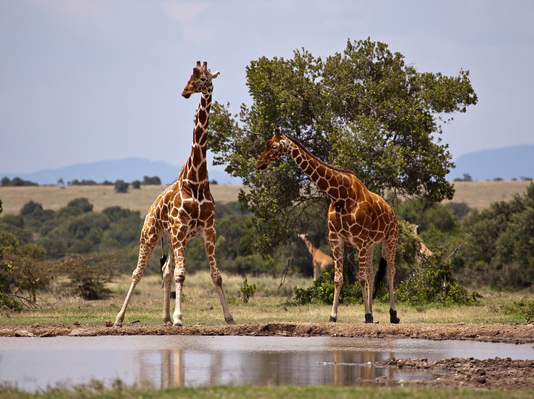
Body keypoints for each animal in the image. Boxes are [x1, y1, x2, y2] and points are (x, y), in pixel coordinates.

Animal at [114, 60, 236, 328]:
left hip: (173, 240)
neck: (197, 179)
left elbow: (216, 275)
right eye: (190, 77)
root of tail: (150, 209)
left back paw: (165, 317)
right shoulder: (181, 229)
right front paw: (181, 318)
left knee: (166, 270)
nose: (185, 91)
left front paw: (229, 317)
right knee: (138, 273)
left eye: (203, 78)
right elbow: (182, 275)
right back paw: (119, 318)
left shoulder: (208, 230)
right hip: (150, 234)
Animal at [258, 130, 400, 324]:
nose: (259, 163)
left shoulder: (360, 241)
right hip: (371, 245)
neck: (340, 196)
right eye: (265, 144)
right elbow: (338, 278)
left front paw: (368, 315)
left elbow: (361, 278)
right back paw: (374, 313)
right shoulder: (336, 239)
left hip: (390, 238)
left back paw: (393, 315)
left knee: (390, 271)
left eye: (273, 146)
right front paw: (334, 316)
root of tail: (391, 211)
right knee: (372, 273)